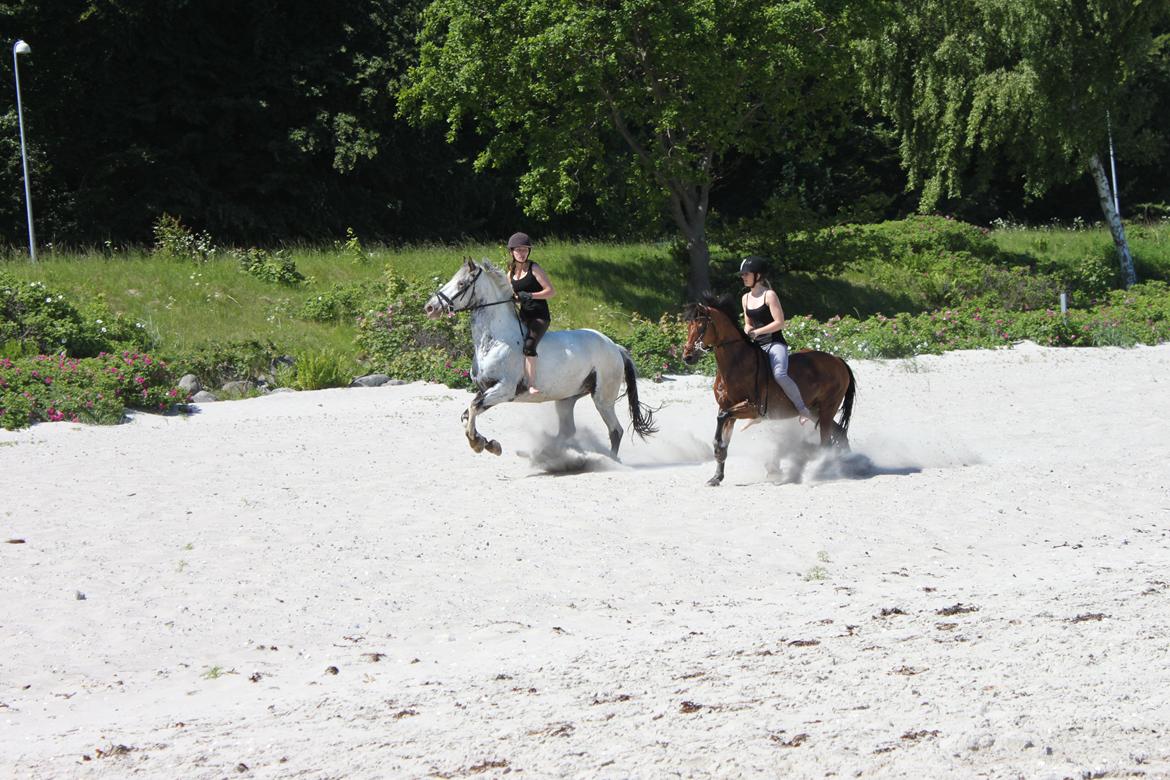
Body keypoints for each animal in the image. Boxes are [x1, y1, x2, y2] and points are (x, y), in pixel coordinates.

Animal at [683, 295, 856, 484]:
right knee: (840, 432)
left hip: (826, 409)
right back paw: (849, 464)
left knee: (826, 441)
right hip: (816, 411)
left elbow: (721, 420)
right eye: (688, 326)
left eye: (701, 326)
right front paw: (716, 477)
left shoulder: (752, 408)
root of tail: (838, 360)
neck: (735, 364)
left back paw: (826, 471)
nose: (687, 357)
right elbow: (722, 437)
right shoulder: (727, 408)